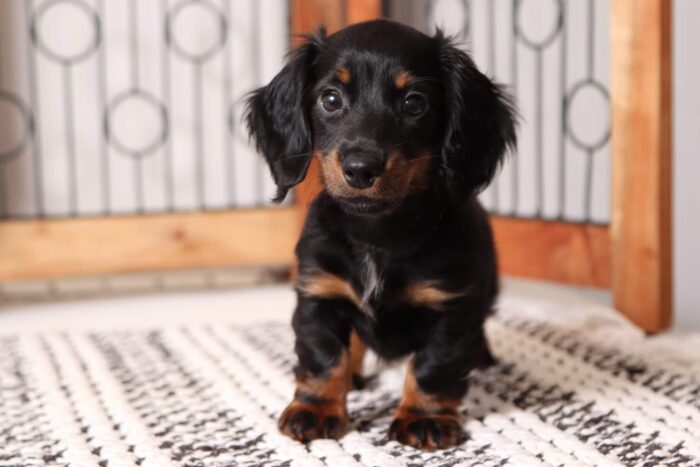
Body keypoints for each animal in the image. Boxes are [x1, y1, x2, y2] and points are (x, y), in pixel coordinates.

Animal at [245, 20, 516, 452]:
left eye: (414, 103)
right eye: (331, 99)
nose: (360, 169)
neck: (377, 233)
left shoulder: (451, 307)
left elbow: (433, 365)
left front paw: (424, 418)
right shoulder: (319, 294)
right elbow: (325, 357)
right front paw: (316, 410)